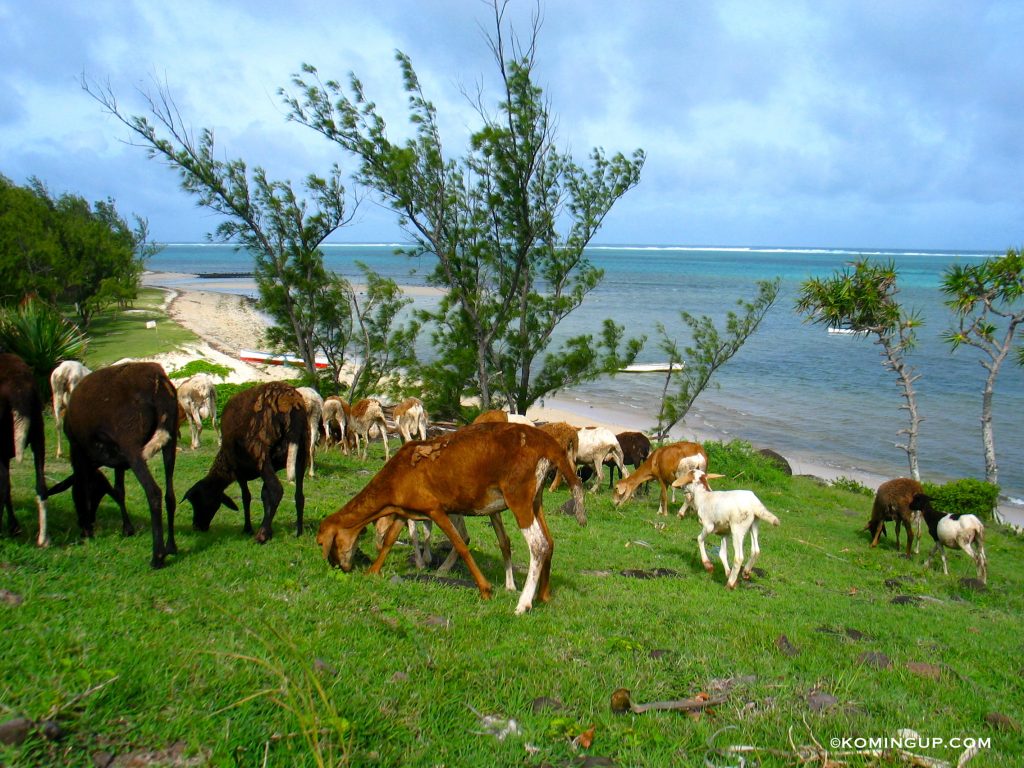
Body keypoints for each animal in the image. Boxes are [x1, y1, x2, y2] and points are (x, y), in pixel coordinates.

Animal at [62, 364, 178, 569]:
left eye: (73, 498)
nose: (82, 524)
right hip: (170, 436)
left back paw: (157, 557)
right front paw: (127, 529)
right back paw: (171, 546)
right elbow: (119, 490)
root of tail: (157, 379)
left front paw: (89, 531)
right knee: (170, 495)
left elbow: (84, 488)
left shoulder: (78, 451)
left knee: (153, 492)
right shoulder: (118, 460)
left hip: (130, 440)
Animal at [182, 382, 307, 544]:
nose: (197, 527)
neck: (224, 463)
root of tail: (289, 399)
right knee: (299, 495)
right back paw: (298, 531)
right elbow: (264, 495)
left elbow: (246, 497)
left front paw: (248, 529)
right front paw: (269, 530)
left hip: (260, 450)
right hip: (302, 450)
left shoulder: (237, 469)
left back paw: (261, 535)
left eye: (197, 500)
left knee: (277, 490)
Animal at [315, 423, 589, 618]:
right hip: (535, 498)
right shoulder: (405, 509)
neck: (393, 480)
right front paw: (372, 571)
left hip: (518, 495)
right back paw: (543, 595)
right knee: (550, 542)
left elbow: (461, 544)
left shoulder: (435, 508)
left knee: (538, 545)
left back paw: (523, 604)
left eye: (322, 544)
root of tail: (547, 442)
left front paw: (485, 590)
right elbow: (391, 539)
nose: (340, 567)